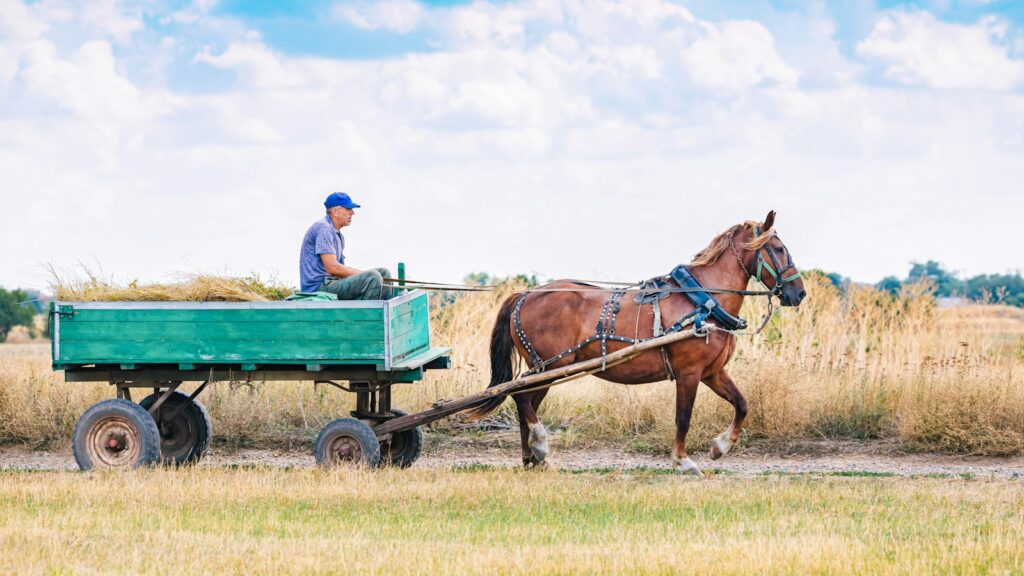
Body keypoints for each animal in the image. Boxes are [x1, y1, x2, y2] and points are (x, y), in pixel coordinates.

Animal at [464, 211, 805, 476]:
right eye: (778, 248)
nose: (798, 293)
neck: (702, 299)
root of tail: (524, 295)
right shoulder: (689, 373)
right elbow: (683, 417)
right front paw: (683, 462)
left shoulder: (712, 372)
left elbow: (742, 404)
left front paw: (719, 447)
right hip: (550, 366)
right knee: (521, 398)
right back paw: (540, 445)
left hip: (547, 369)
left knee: (526, 404)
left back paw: (532, 458)